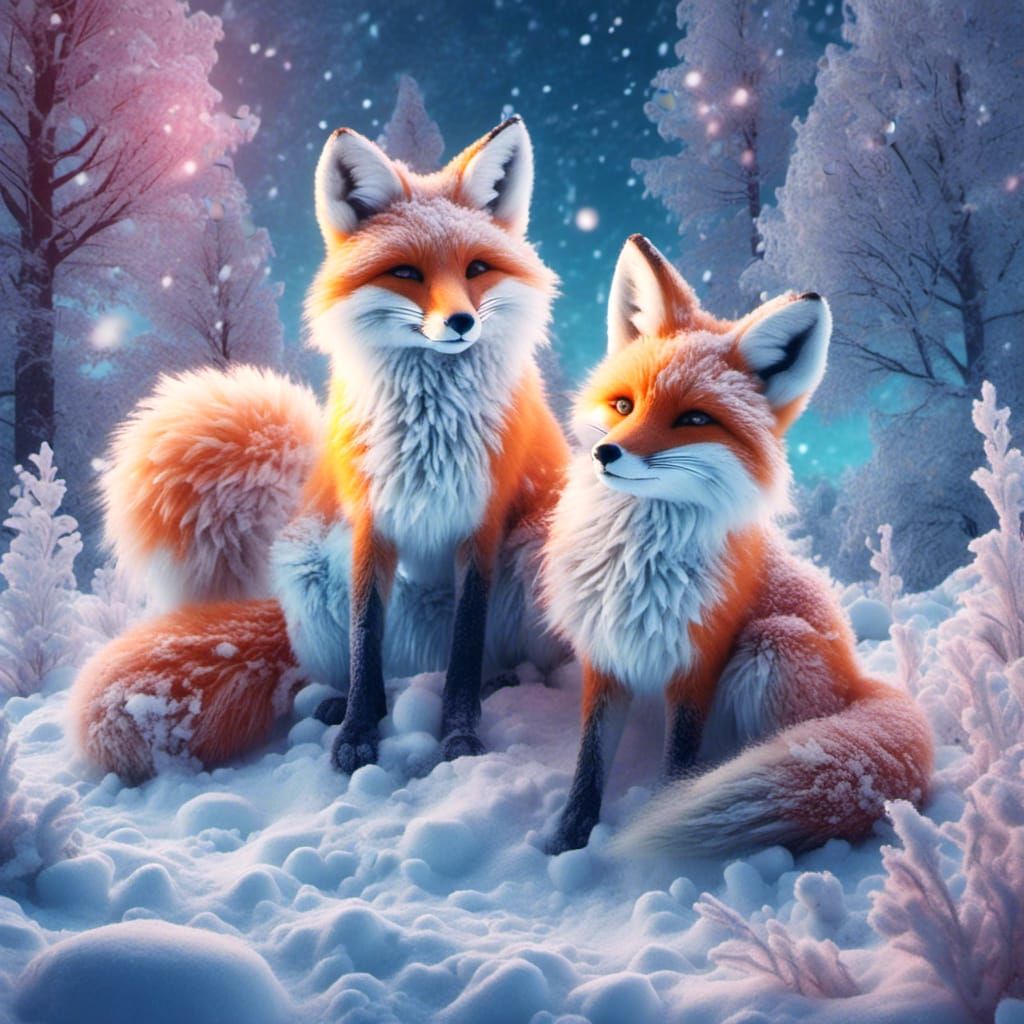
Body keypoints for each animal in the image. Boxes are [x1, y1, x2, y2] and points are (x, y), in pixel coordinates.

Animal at [71, 116, 570, 783]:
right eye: (406, 273)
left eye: (477, 269)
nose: (462, 322)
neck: (430, 431)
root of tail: (421, 653)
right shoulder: (368, 523)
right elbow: (364, 646)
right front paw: (358, 735)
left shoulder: (482, 527)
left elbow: (465, 654)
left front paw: (459, 735)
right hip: (308, 566)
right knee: (367, 672)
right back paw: (342, 702)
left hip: (538, 547)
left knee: (485, 661)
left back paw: (506, 681)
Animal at [541, 234, 933, 857]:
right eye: (624, 406)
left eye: (694, 419)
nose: (607, 453)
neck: (636, 564)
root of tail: (860, 682)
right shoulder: (606, 656)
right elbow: (589, 763)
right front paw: (568, 840)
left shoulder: (698, 663)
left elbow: (678, 761)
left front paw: (658, 811)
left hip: (771, 646)